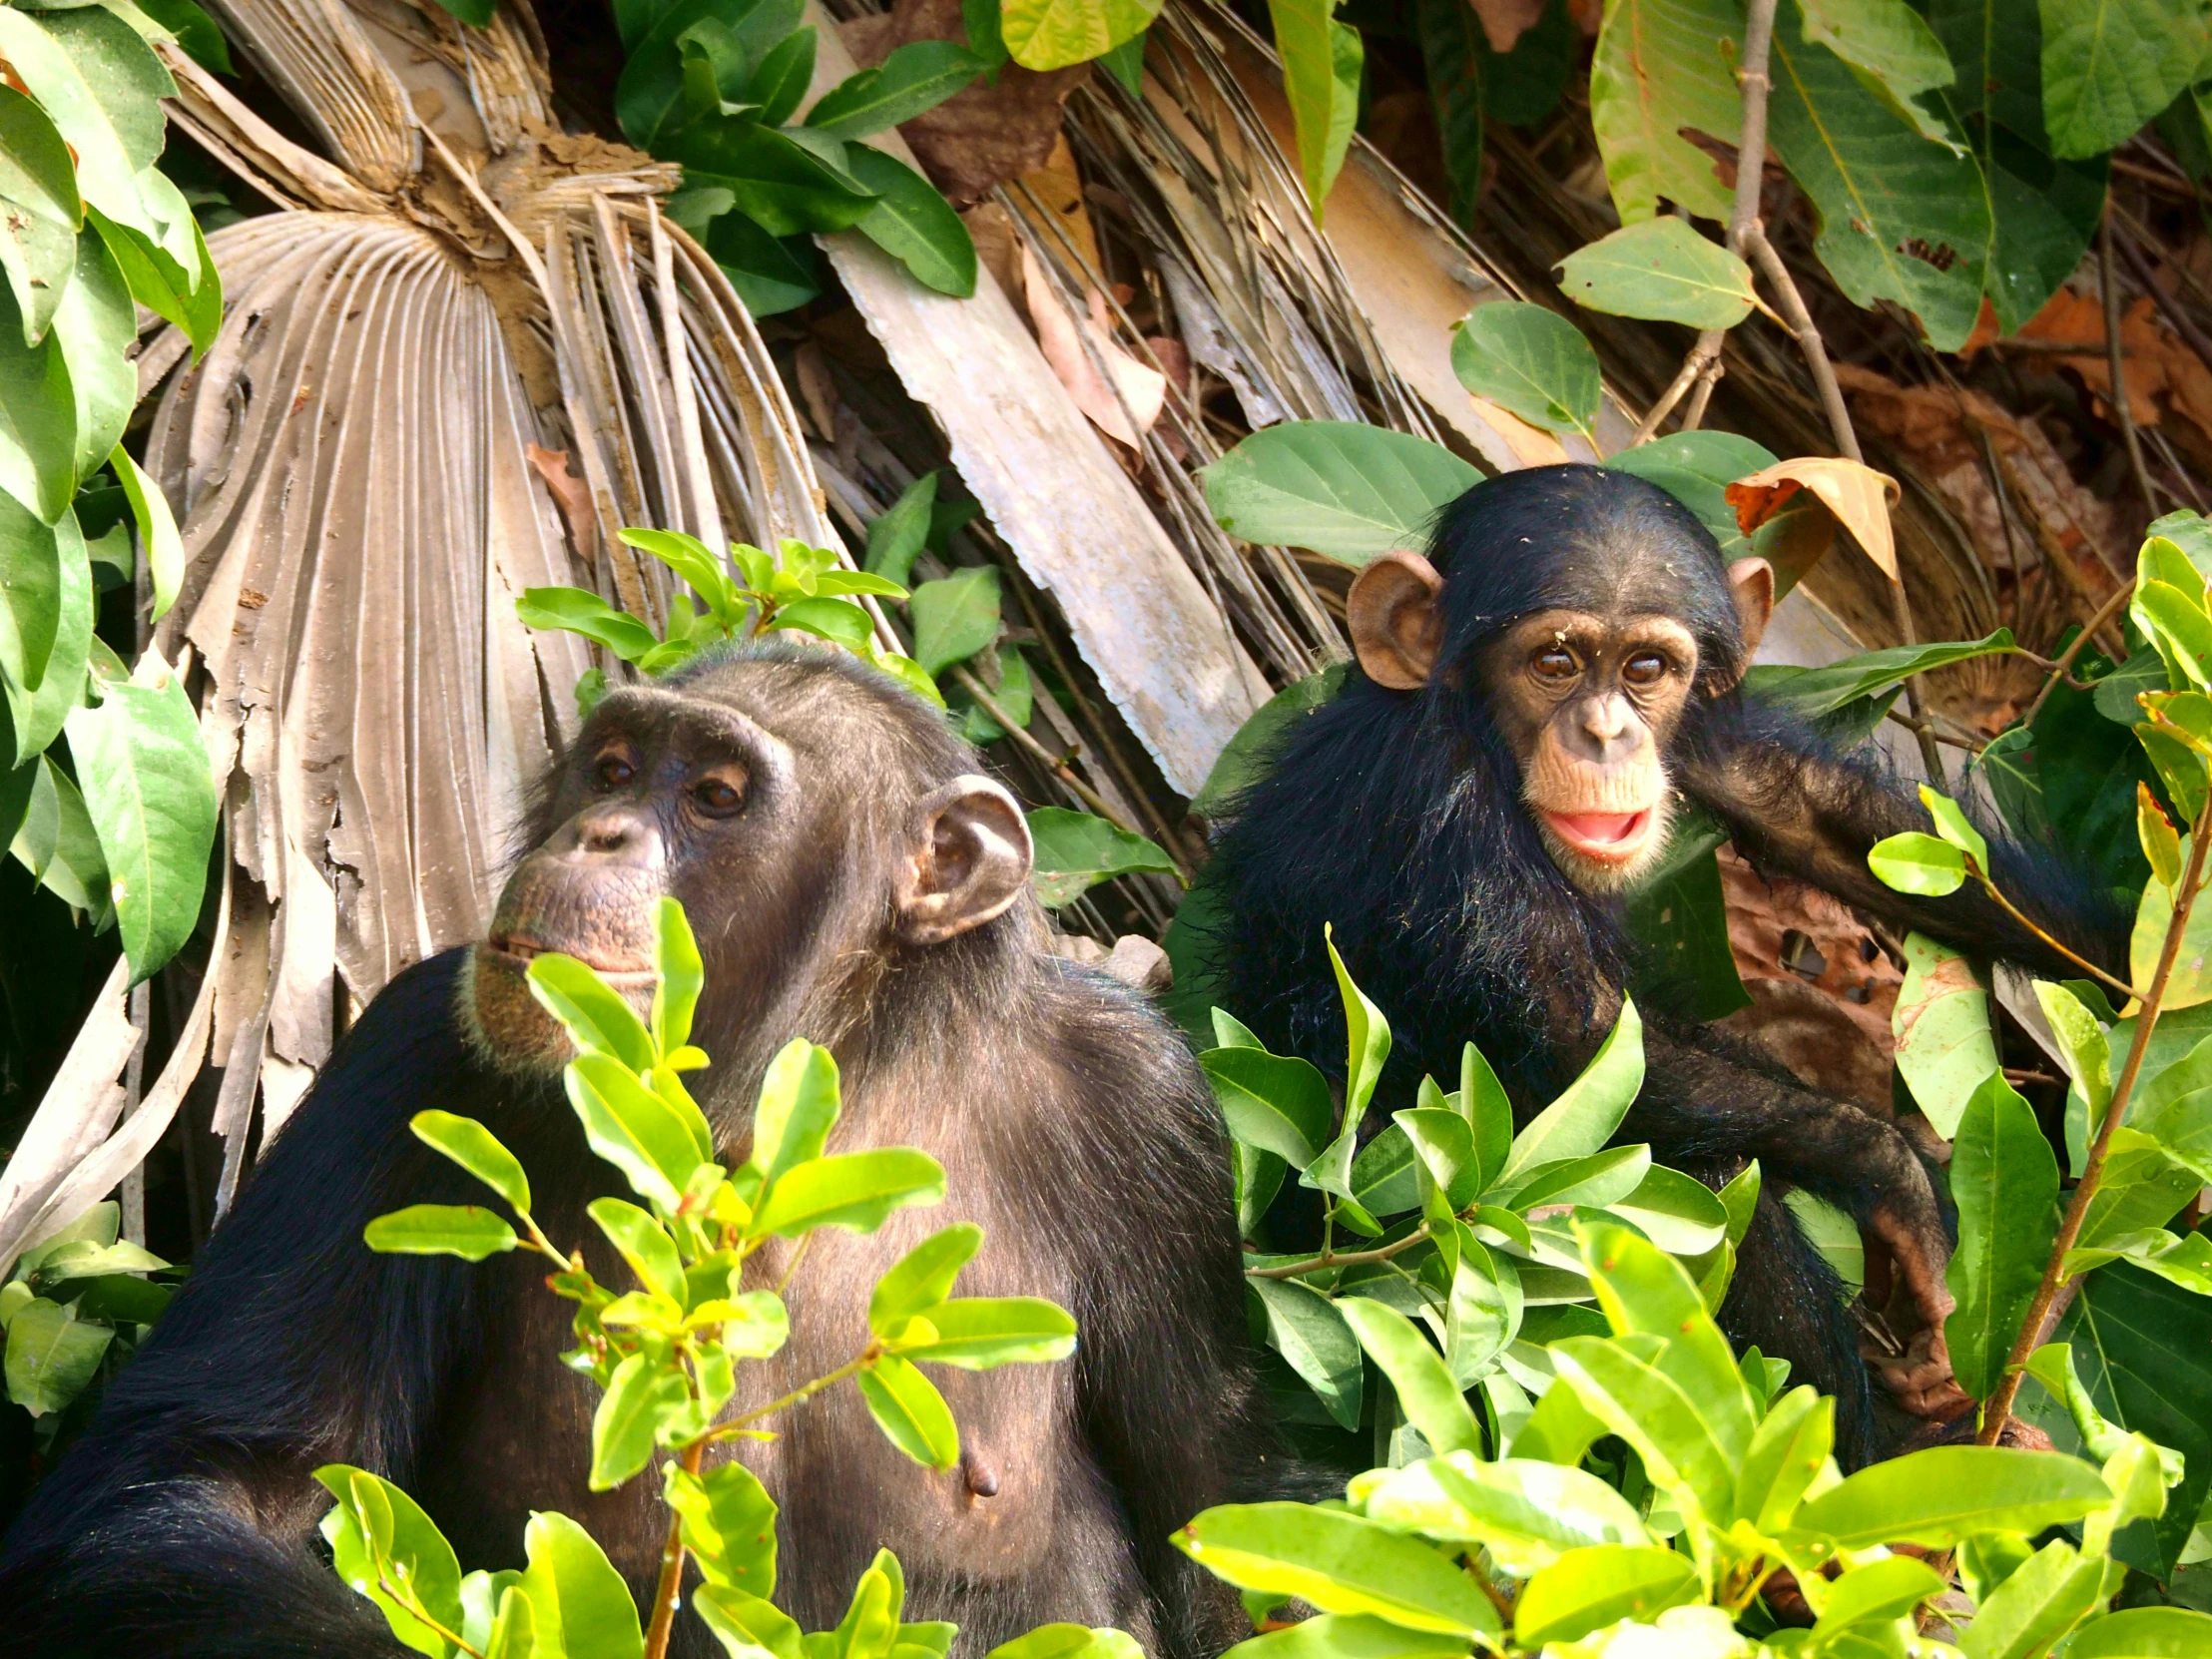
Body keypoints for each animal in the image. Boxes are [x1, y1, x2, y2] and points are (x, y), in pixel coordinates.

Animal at [0, 641, 1283, 1659]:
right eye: (613, 768)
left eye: (714, 795)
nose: (597, 830)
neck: (813, 1087)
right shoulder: (405, 1064)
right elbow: (206, 1481)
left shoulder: (1146, 1110)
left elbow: (1219, 1532)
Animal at [1212, 464, 2123, 1468]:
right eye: (1555, 662)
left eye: (1645, 670)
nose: (1606, 733)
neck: (1479, 737)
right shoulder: (1440, 810)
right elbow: (1589, 1049)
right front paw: (1898, 1184)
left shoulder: (1705, 737)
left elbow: (1821, 817)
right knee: (1714, 1179)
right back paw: (1888, 1451)